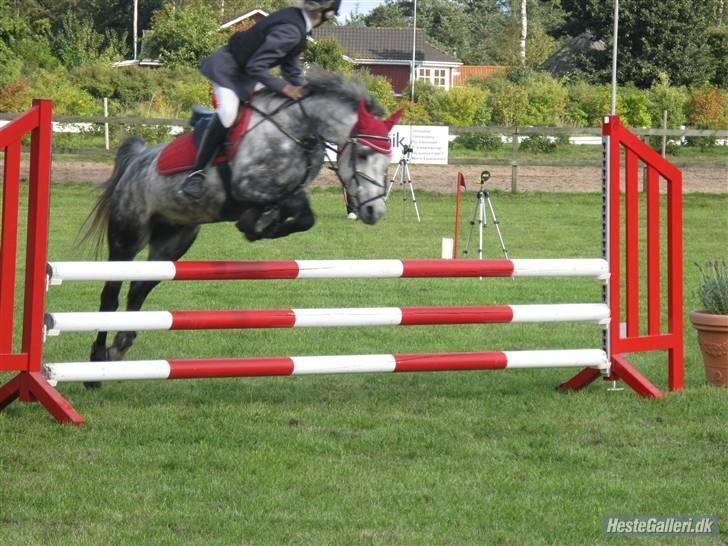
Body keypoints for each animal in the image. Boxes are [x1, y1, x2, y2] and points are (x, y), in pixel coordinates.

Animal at [80, 70, 400, 370]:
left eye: (388, 160)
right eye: (363, 154)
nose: (374, 212)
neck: (298, 127)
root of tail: (137, 161)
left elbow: (303, 215)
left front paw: (262, 226)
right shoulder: (246, 187)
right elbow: (287, 204)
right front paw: (256, 225)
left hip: (173, 241)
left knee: (138, 289)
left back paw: (120, 345)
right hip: (127, 237)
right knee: (110, 295)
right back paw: (97, 359)